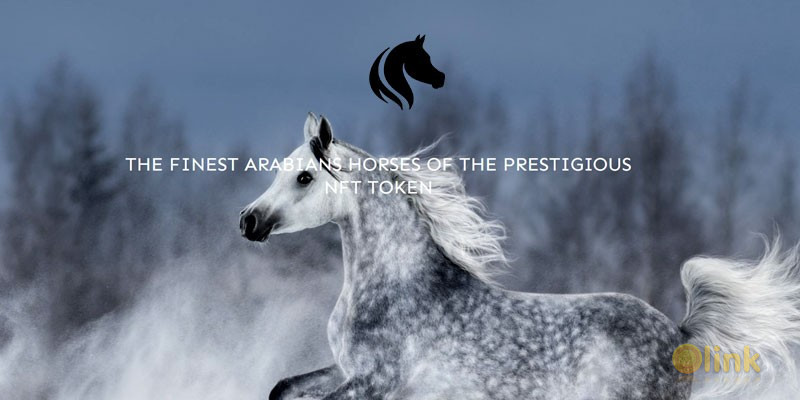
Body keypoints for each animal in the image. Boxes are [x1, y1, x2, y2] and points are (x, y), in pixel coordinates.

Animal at [240, 113, 800, 399]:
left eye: (304, 177)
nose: (248, 220)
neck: (394, 289)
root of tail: (680, 332)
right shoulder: (345, 370)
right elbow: (281, 389)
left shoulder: (377, 382)